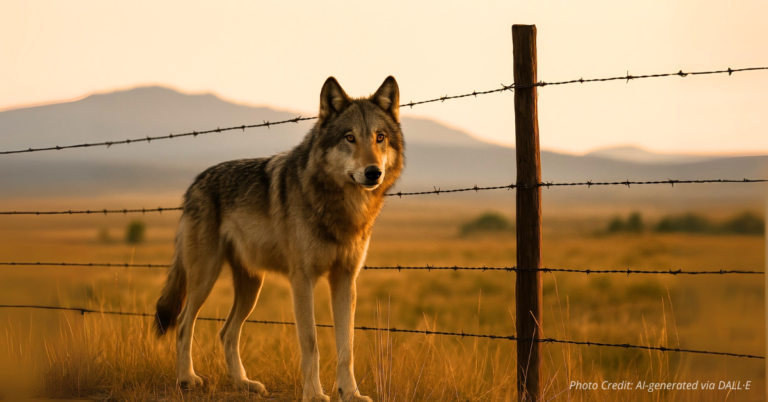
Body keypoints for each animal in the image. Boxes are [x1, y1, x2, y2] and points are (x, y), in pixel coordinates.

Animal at [153, 76, 404, 402]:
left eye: (380, 137)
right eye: (349, 138)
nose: (373, 172)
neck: (341, 208)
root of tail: (194, 183)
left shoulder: (345, 280)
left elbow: (346, 347)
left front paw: (350, 394)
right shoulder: (302, 280)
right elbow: (311, 342)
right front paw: (314, 394)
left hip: (251, 286)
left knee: (227, 332)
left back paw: (244, 383)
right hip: (204, 278)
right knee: (185, 324)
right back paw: (187, 379)